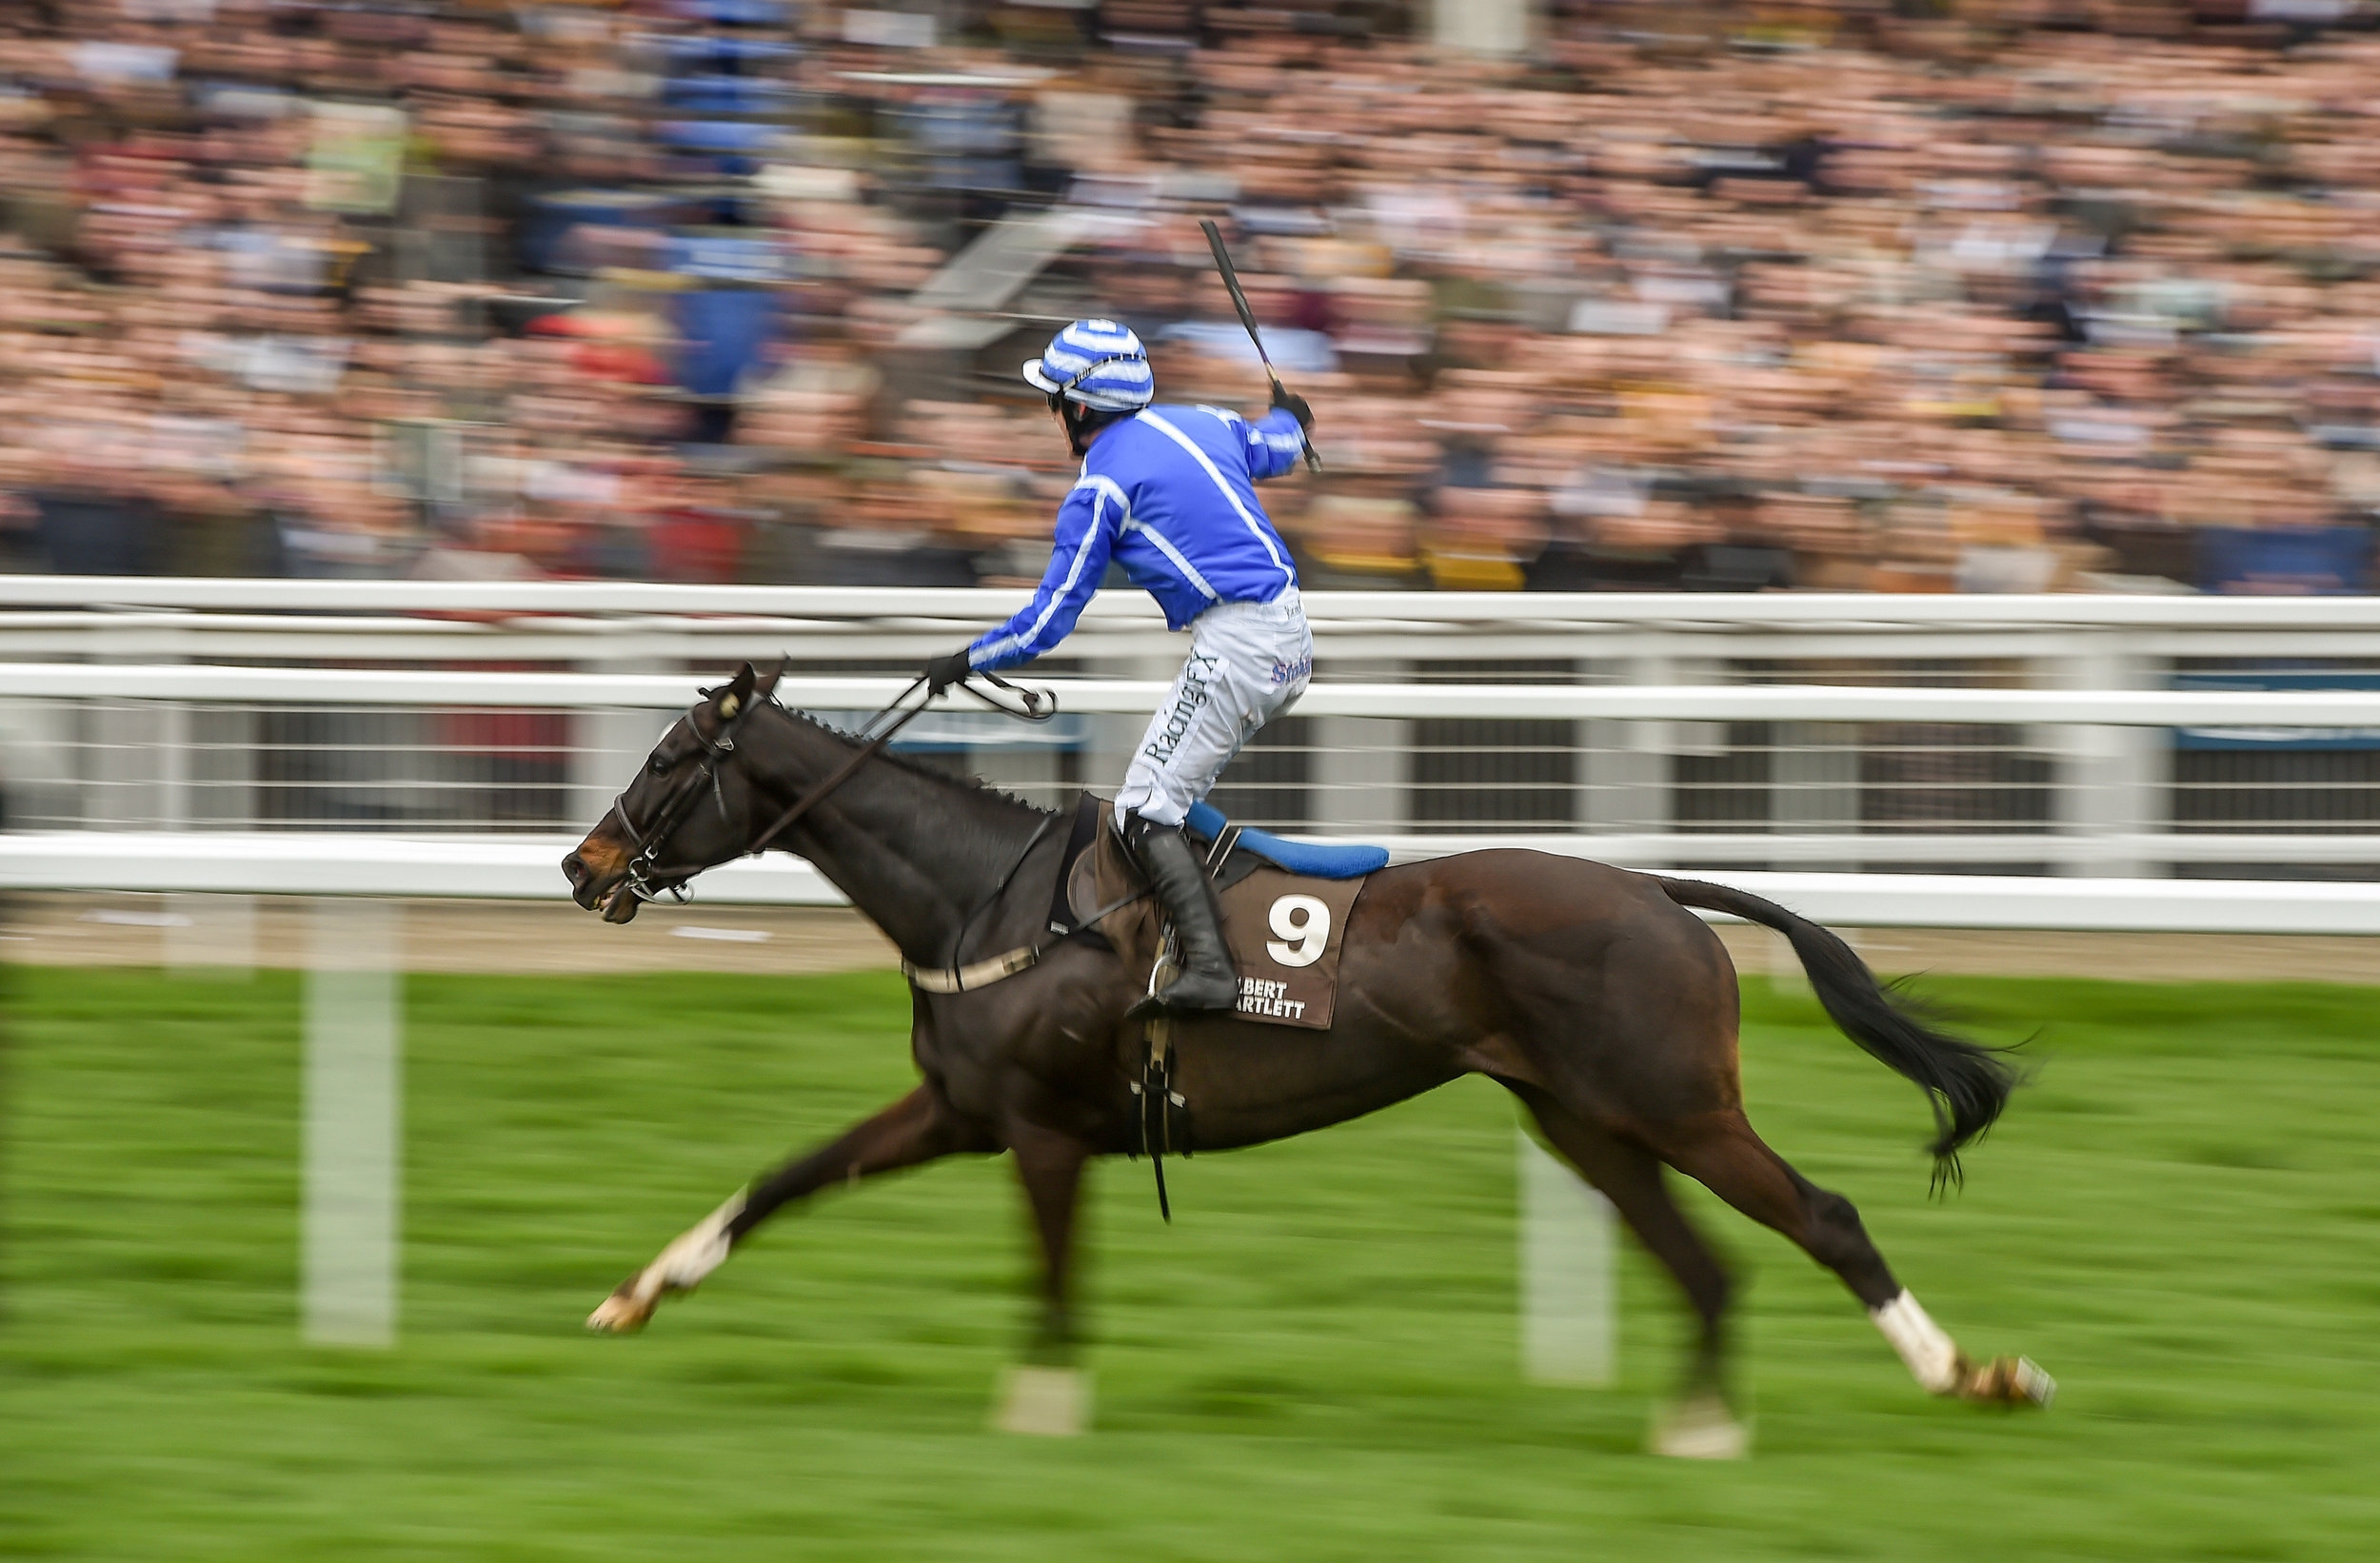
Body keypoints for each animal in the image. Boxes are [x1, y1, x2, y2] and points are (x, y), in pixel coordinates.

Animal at [557, 656, 2047, 1446]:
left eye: (672, 757)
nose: (581, 865)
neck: (988, 894)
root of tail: (1661, 890)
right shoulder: (960, 1108)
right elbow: (787, 1176)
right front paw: (636, 1291)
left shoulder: (1039, 1128)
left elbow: (1053, 1274)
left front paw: (1040, 1410)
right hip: (1586, 1120)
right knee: (1706, 1261)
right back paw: (1699, 1426)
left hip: (1674, 1102)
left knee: (1825, 1214)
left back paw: (1973, 1370)